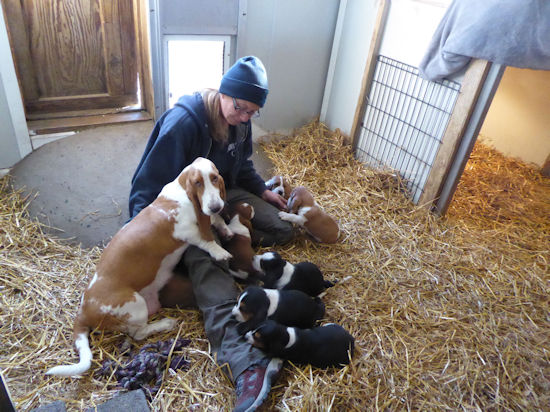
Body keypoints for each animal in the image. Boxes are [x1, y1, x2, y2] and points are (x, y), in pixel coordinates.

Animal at [44, 158, 231, 376]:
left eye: (215, 178)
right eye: (197, 183)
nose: (215, 206)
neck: (180, 193)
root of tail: (83, 311)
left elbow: (216, 221)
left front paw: (225, 228)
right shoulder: (186, 232)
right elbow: (206, 241)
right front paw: (220, 252)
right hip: (135, 304)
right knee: (138, 334)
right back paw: (165, 323)